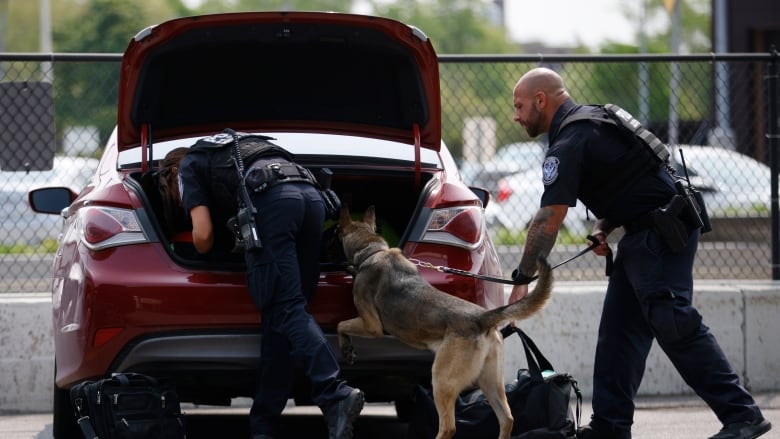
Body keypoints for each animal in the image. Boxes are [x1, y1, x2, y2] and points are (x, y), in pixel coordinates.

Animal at [338, 206, 552, 439]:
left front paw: (346, 348)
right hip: (489, 382)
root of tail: (481, 318)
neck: (373, 250)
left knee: (448, 427)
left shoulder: (372, 326)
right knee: (507, 418)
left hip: (441, 380)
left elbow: (341, 324)